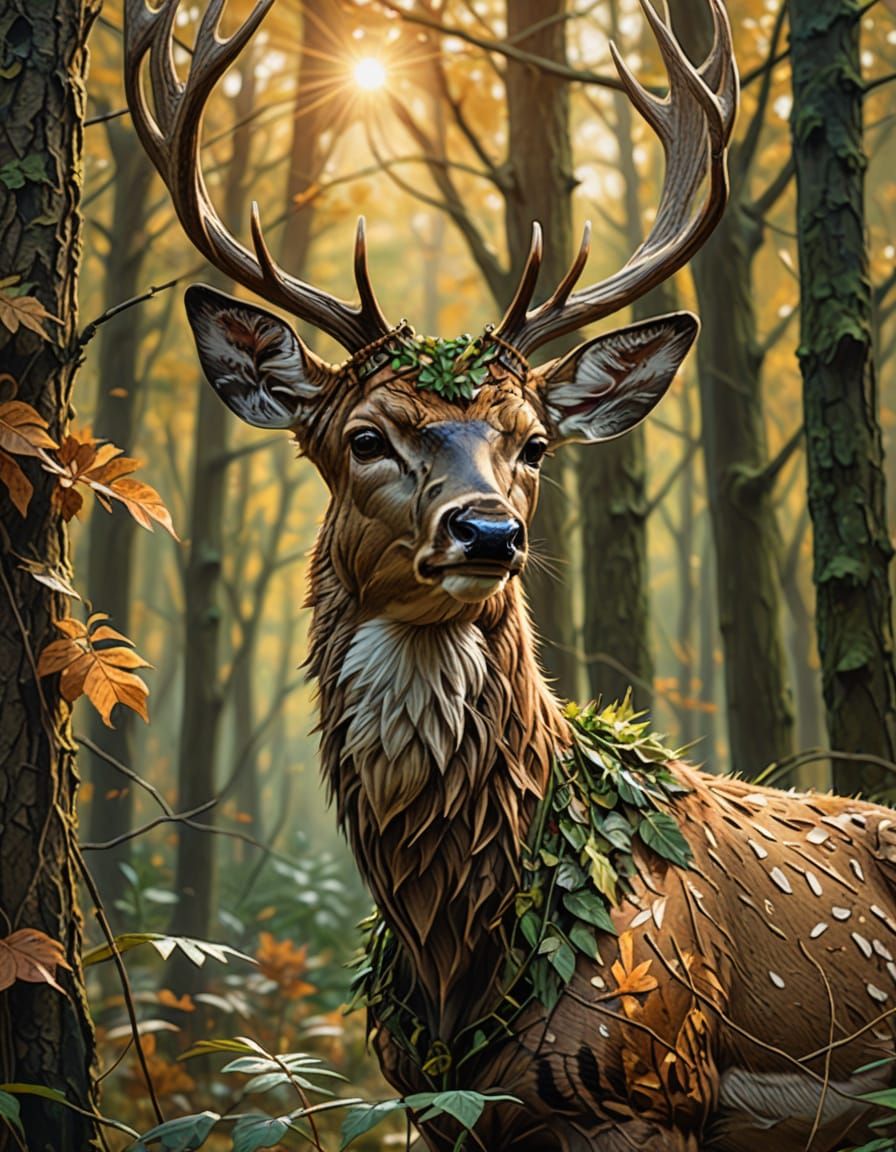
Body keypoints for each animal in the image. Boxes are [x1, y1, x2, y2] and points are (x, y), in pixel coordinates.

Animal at [123, 0, 896, 1148]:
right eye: (364, 437)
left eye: (533, 443)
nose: (487, 531)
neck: (459, 942)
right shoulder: (439, 1104)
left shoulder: (646, 1076)